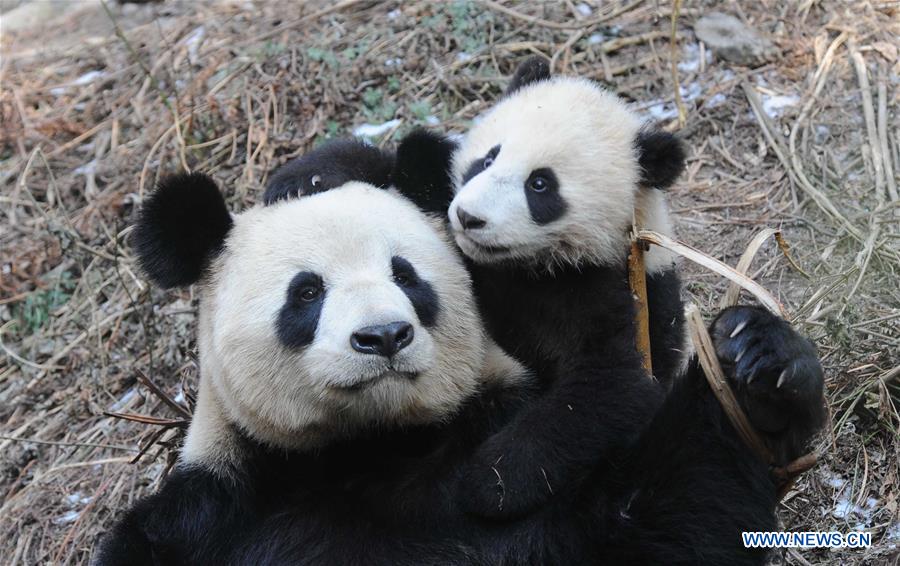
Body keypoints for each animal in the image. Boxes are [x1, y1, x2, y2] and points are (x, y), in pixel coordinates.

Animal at [98, 175, 824, 564]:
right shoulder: (219, 511)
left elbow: (658, 520)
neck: (372, 446)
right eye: (306, 293)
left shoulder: (502, 440)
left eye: (406, 275)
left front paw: (757, 372)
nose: (384, 336)